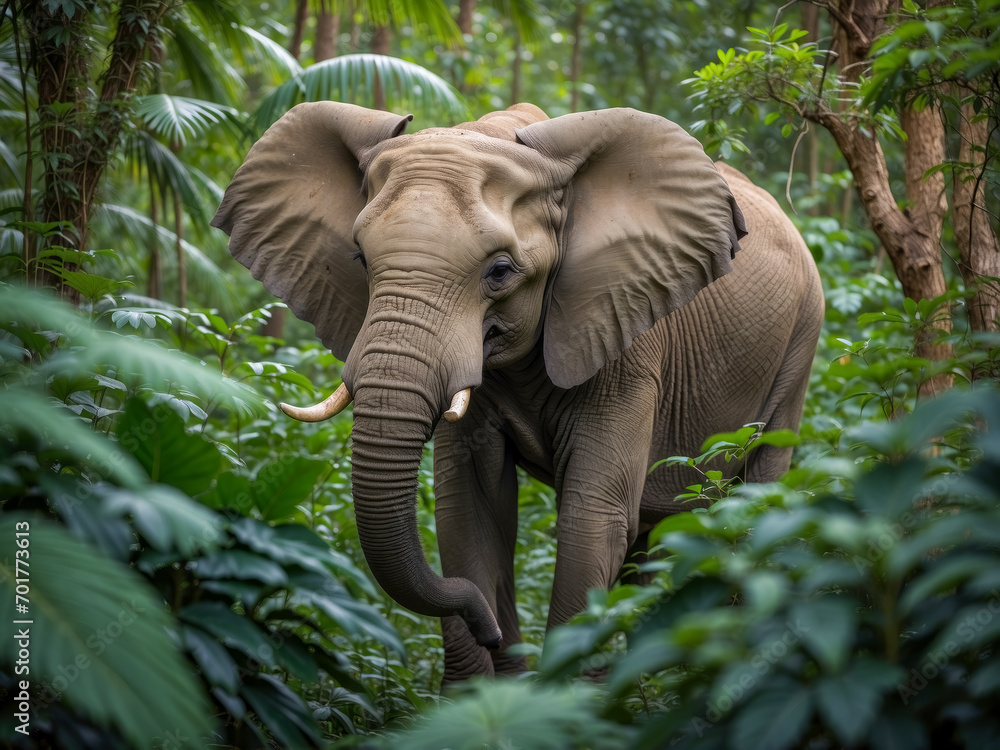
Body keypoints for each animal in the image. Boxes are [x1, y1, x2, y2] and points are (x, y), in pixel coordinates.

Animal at [212, 102, 824, 682]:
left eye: (501, 272)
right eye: (361, 259)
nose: (485, 627)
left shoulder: (628, 343)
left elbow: (594, 517)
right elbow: (469, 509)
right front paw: (489, 694)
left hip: (801, 343)